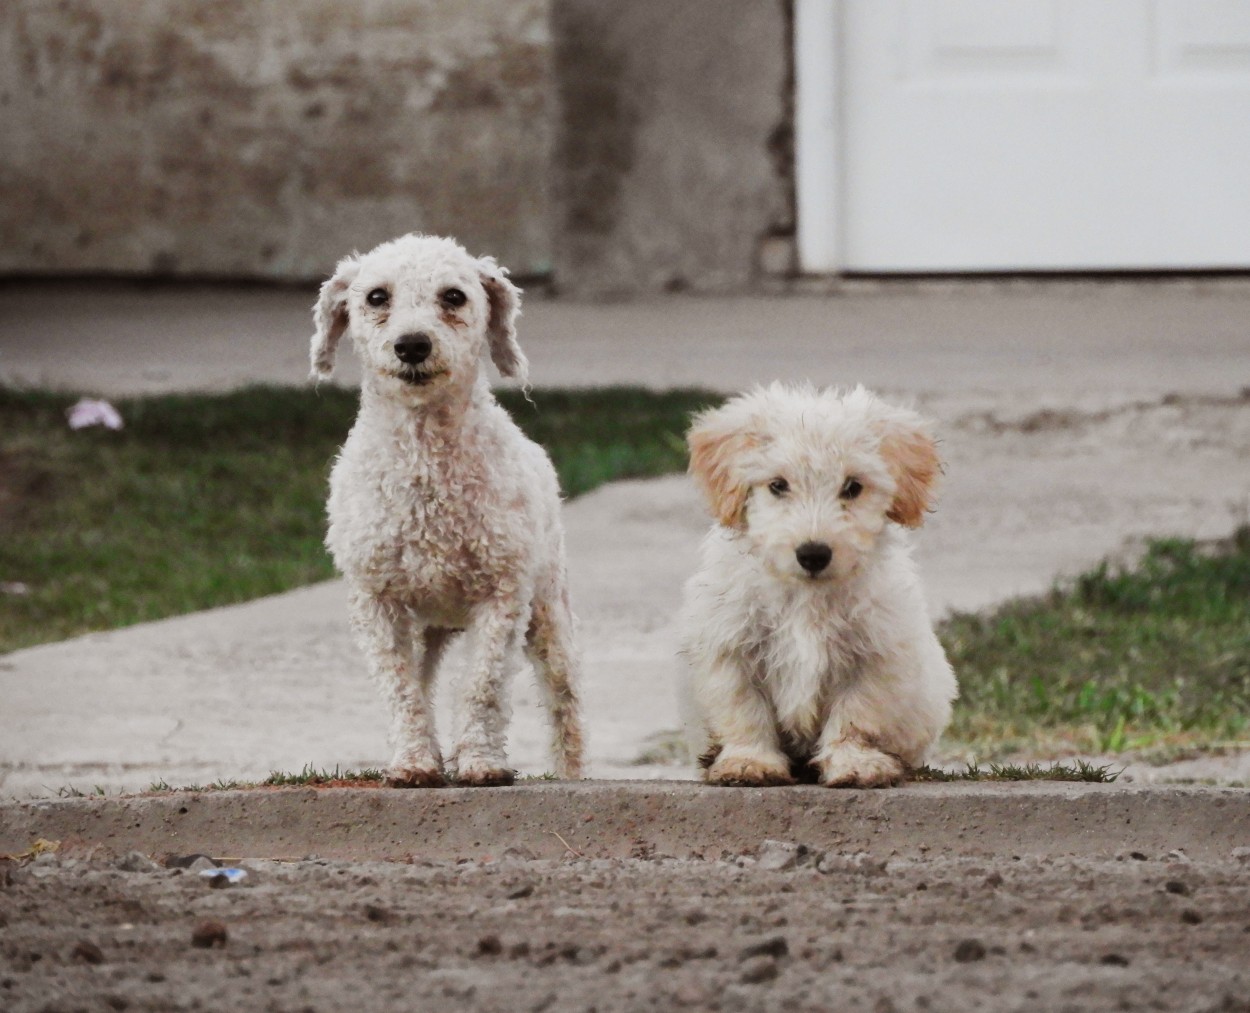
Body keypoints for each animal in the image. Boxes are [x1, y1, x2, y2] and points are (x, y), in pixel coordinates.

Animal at [312, 232, 585, 785]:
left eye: (454, 297)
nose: (412, 344)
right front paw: (415, 762)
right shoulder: (376, 601)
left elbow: (482, 687)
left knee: (564, 702)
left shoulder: (502, 596)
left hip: (549, 610)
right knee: (421, 678)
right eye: (376, 297)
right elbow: (402, 690)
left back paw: (571, 773)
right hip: (426, 626)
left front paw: (480, 762)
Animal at [685, 382, 955, 785]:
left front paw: (854, 763)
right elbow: (745, 711)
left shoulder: (873, 654)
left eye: (853, 487)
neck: (806, 595)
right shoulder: (733, 649)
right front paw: (750, 762)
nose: (813, 553)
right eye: (778, 485)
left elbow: (855, 715)